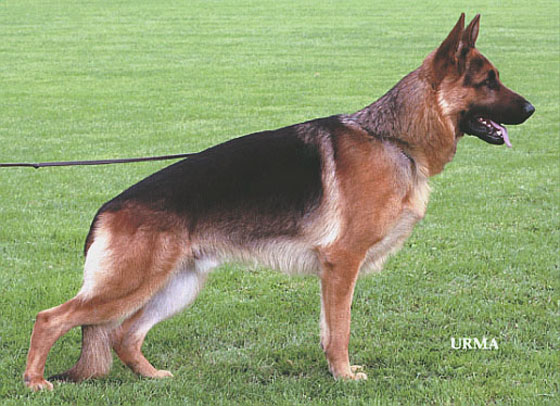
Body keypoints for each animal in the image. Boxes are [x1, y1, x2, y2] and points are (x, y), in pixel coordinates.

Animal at [24, 13, 534, 390]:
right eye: (488, 82)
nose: (533, 109)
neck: (393, 137)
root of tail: (107, 209)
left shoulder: (334, 271)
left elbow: (330, 328)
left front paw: (336, 371)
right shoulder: (341, 263)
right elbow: (340, 329)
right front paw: (344, 376)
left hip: (177, 285)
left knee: (124, 336)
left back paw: (152, 377)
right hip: (129, 285)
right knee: (50, 318)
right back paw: (35, 381)